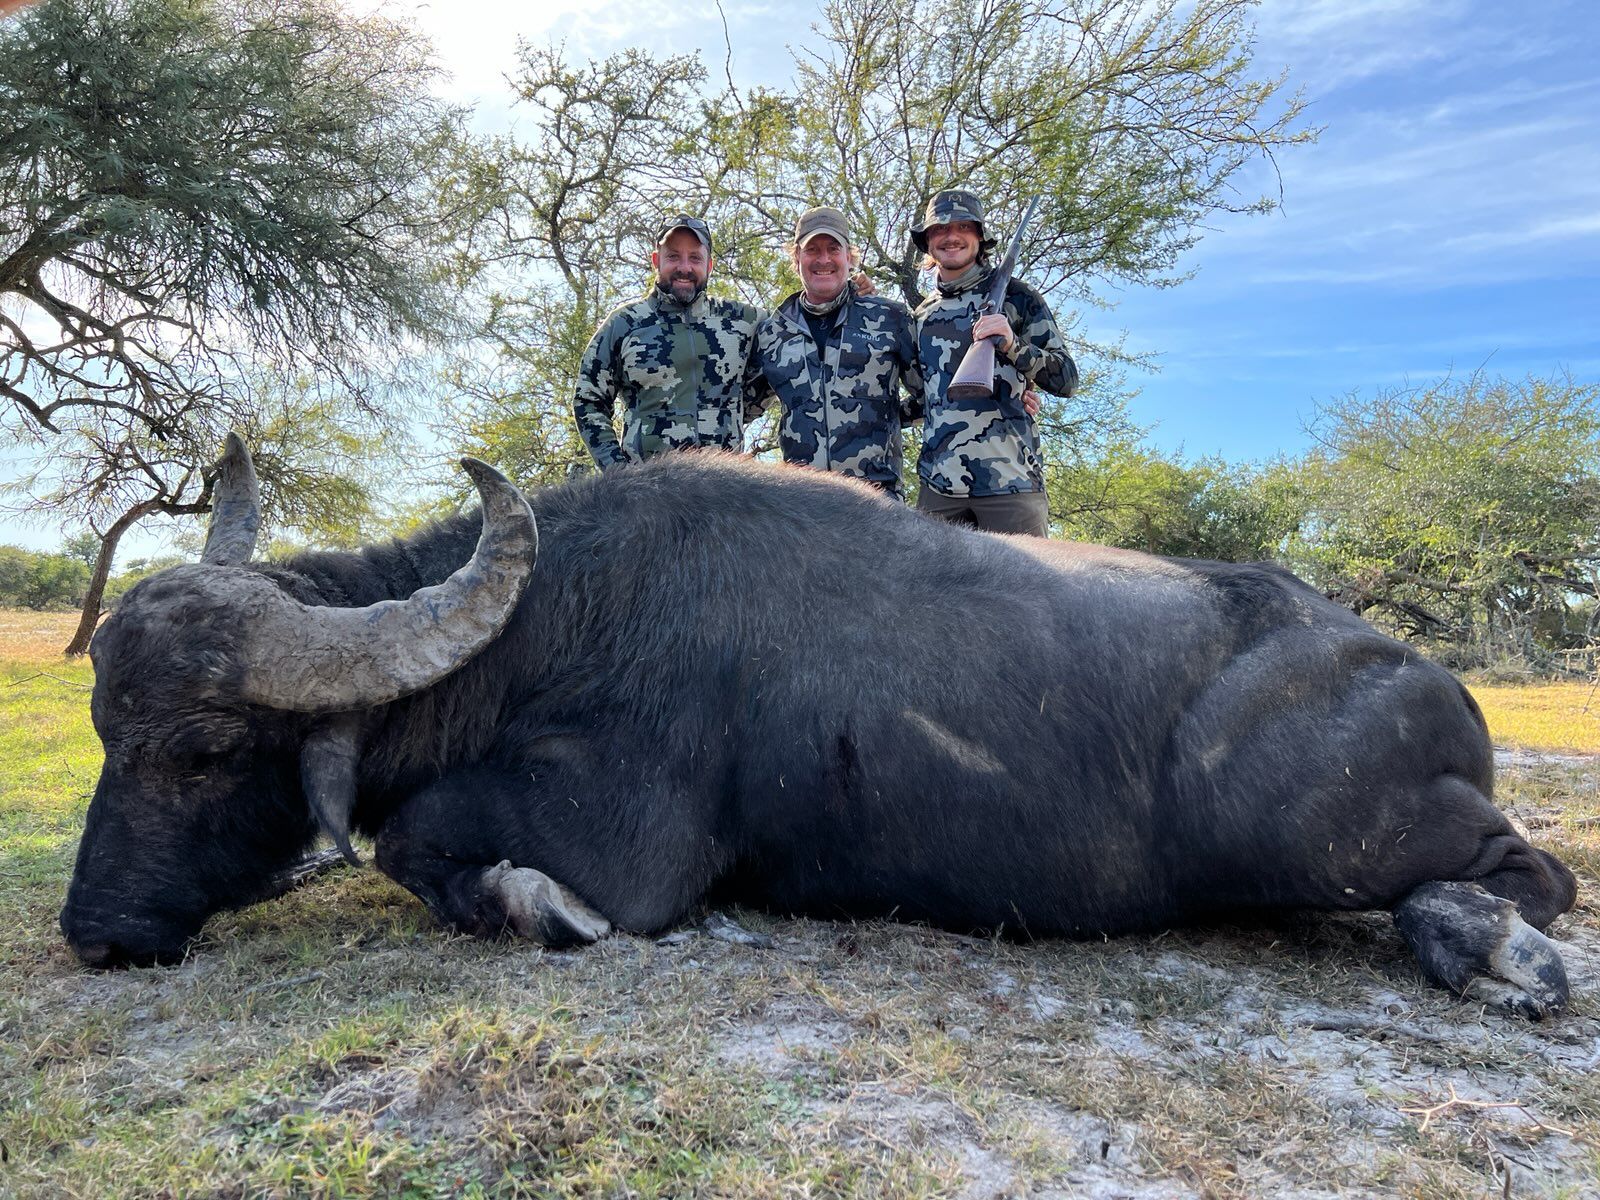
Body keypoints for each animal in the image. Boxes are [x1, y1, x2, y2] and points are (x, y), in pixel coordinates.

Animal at [60, 436, 1577, 1017]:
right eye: (103, 731)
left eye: (205, 751)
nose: (94, 932)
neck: (550, 610)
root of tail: (1409, 668)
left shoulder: (634, 853)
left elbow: (422, 850)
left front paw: (535, 905)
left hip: (1313, 833)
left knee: (1537, 876)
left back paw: (1497, 946)